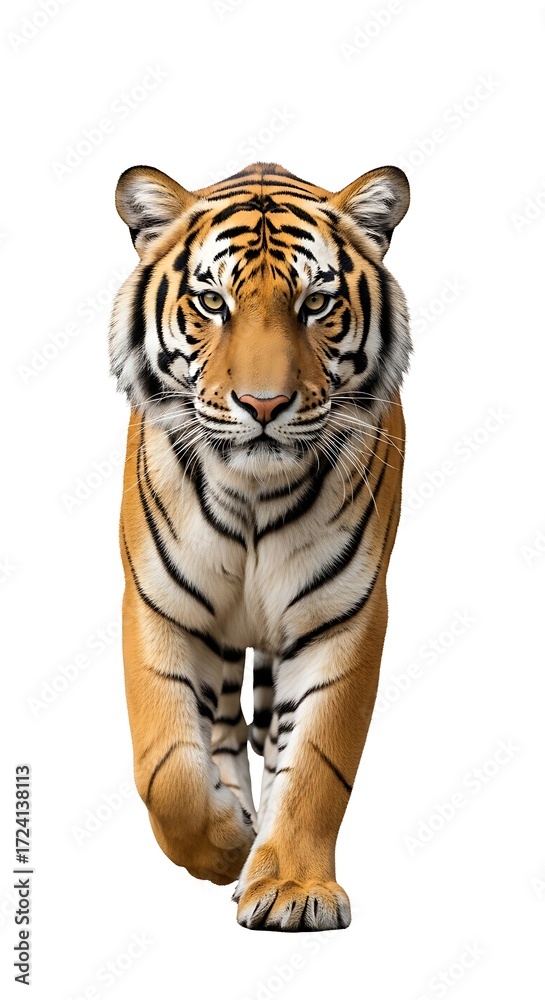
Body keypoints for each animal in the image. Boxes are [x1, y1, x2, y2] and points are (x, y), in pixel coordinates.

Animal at [109, 159, 410, 931]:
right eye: (211, 302)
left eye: (316, 303)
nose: (265, 405)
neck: (252, 493)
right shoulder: (160, 605)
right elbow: (167, 767)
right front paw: (223, 848)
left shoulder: (342, 617)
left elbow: (315, 764)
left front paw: (293, 886)